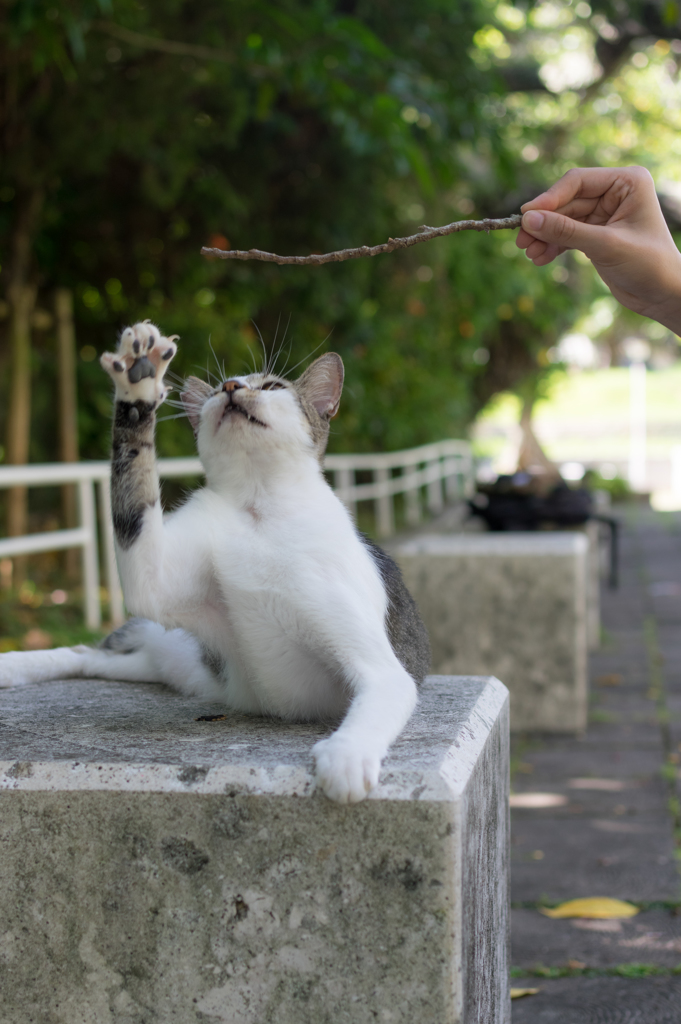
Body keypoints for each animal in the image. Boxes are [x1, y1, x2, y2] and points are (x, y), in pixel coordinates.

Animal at [0, 323, 428, 802]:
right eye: (216, 390)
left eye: (272, 386)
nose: (231, 387)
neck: (258, 508)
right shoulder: (157, 579)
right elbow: (133, 498)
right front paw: (137, 385)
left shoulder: (382, 666)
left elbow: (383, 690)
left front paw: (347, 756)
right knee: (86, 650)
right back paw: (13, 665)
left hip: (168, 664)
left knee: (97, 661)